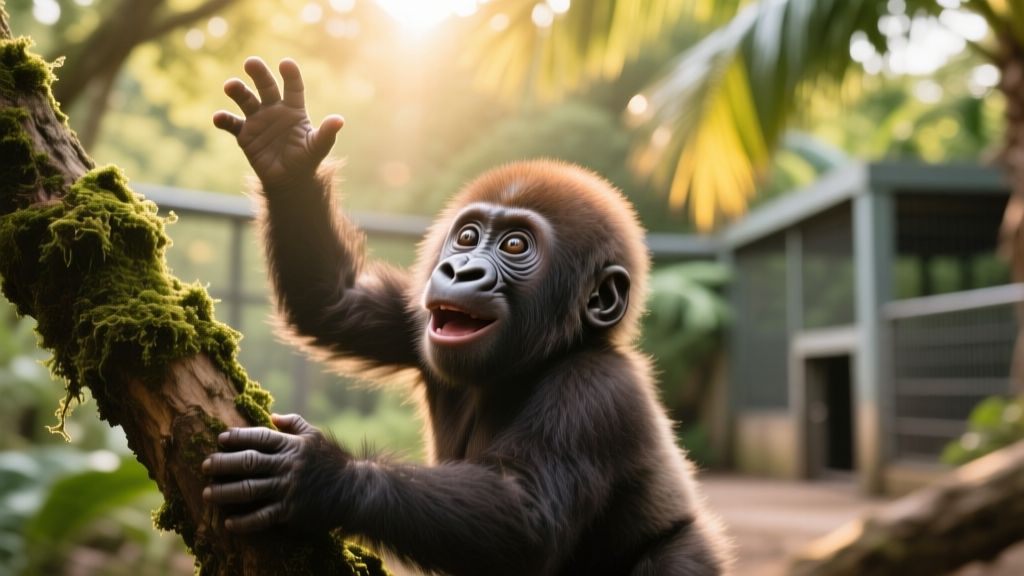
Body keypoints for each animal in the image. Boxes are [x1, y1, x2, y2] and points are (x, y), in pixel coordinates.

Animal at [202, 57, 732, 576]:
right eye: (467, 236)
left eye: (515, 245)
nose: (460, 270)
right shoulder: (410, 318)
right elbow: (333, 303)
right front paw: (284, 151)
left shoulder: (599, 390)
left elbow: (527, 516)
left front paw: (322, 476)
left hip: (686, 554)